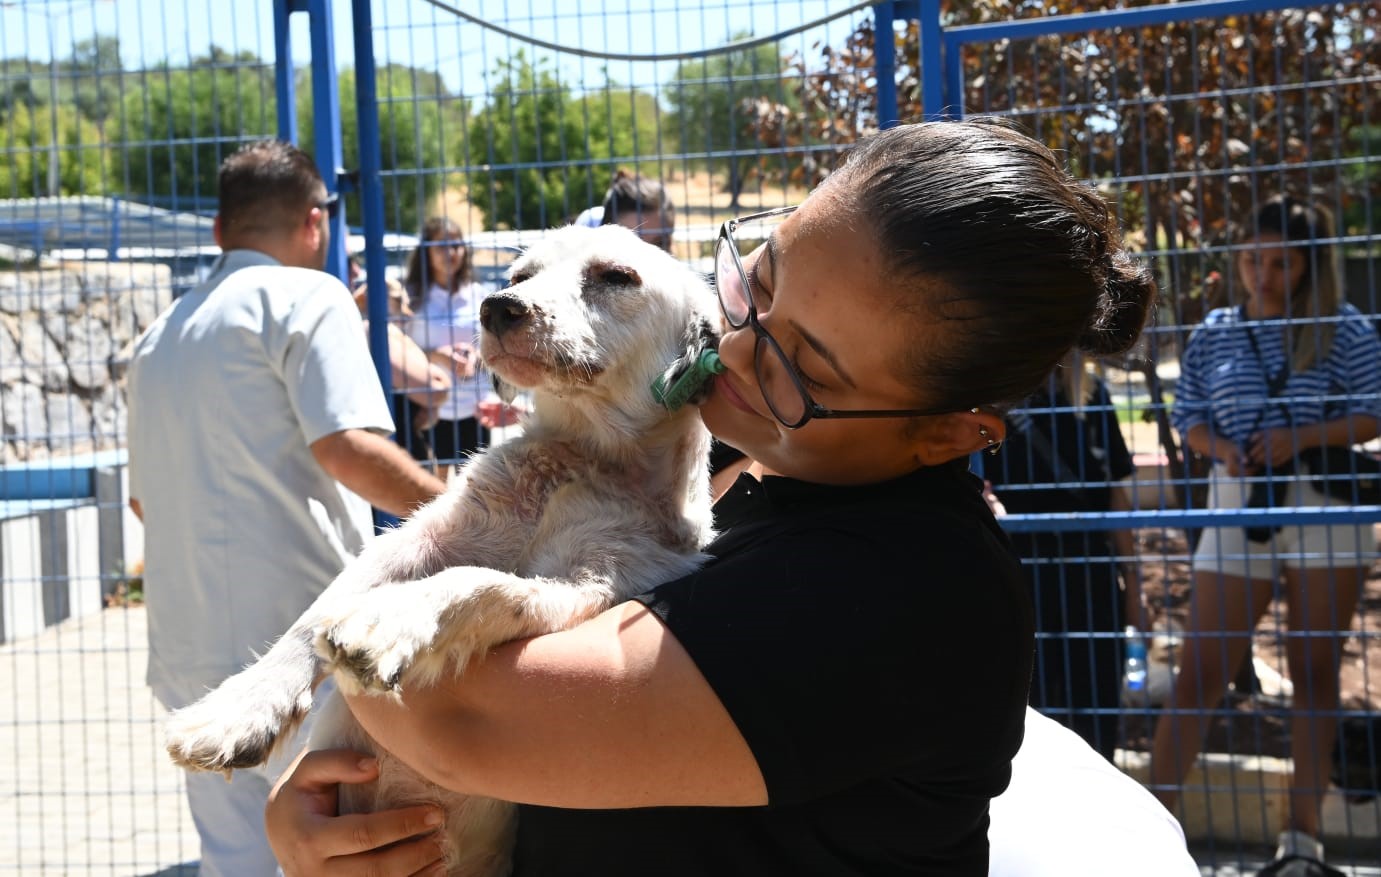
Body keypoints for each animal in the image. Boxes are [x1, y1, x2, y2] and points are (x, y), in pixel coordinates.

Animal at [162, 226, 723, 877]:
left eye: (616, 276)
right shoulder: (429, 534)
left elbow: (478, 583)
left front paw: (385, 622)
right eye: (521, 274)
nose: (498, 307)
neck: (585, 457)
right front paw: (234, 714)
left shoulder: (591, 586)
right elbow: (313, 615)